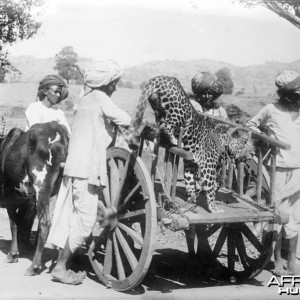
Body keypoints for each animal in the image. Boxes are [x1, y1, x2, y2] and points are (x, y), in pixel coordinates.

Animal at [132, 76, 254, 214]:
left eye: (251, 143)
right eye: (244, 142)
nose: (252, 154)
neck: (224, 141)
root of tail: (164, 77)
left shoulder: (190, 163)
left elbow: (190, 180)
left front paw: (191, 199)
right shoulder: (208, 166)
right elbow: (210, 188)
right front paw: (214, 208)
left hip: (158, 109)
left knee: (161, 124)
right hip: (178, 113)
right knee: (166, 125)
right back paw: (174, 140)